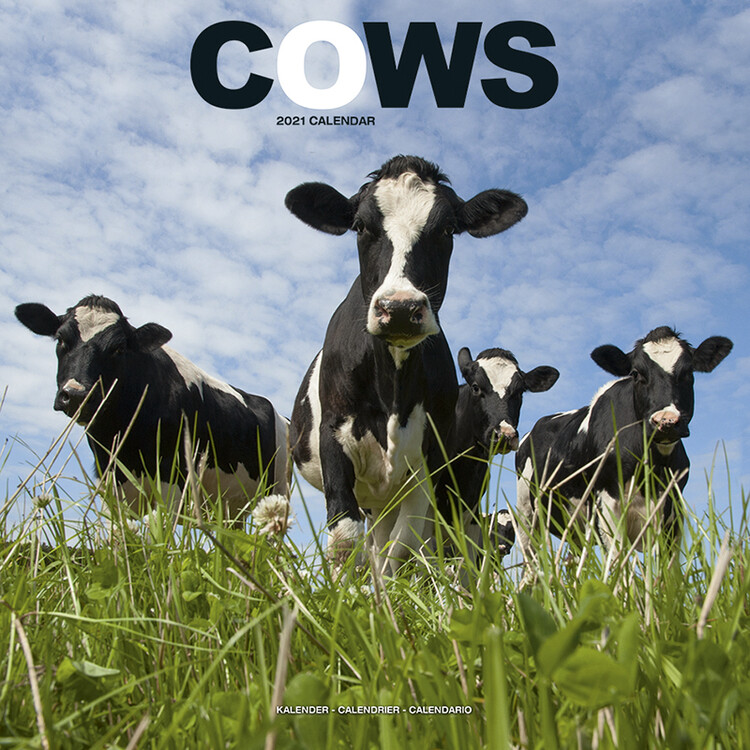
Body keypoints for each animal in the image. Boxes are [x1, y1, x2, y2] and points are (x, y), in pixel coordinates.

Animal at [15, 295, 289, 523]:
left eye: (119, 348)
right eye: (61, 340)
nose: (76, 395)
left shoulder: (171, 482)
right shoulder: (110, 485)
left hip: (277, 490)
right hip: (232, 509)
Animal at [287, 155, 528, 573]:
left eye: (448, 229)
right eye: (360, 226)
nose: (399, 308)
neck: (393, 390)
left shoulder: (429, 464)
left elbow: (402, 549)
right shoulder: (334, 436)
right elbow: (344, 541)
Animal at [515, 326, 733, 583]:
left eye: (689, 372)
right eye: (636, 373)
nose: (666, 421)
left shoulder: (673, 510)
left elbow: (668, 573)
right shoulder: (607, 506)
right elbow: (622, 567)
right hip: (527, 514)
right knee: (533, 562)